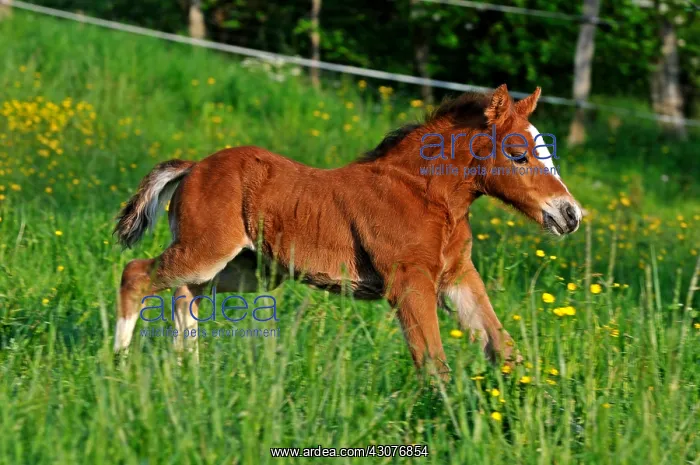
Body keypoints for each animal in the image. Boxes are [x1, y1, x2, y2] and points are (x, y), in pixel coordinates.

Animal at [112, 84, 582, 379]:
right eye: (519, 155)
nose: (571, 213)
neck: (426, 194)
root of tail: (193, 166)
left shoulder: (457, 277)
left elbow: (502, 345)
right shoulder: (409, 281)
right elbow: (433, 362)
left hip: (246, 270)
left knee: (184, 295)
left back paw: (186, 370)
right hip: (208, 249)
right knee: (137, 274)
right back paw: (118, 364)